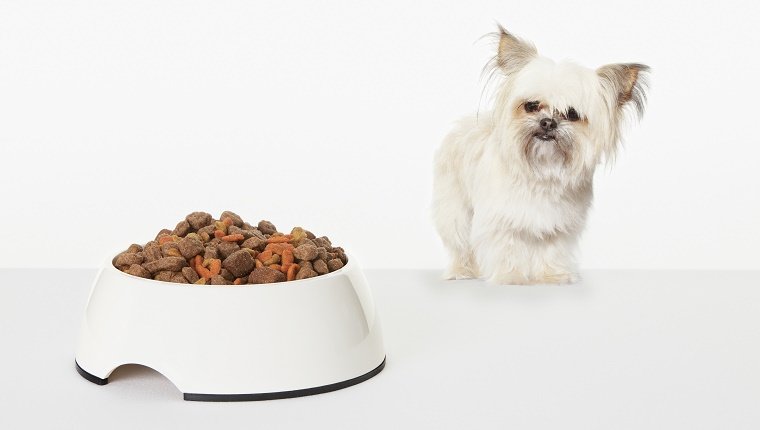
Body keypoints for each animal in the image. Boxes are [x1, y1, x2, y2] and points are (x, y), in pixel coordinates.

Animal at [430, 25, 652, 284]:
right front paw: (511, 276)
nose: (548, 122)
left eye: (572, 114)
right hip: (456, 213)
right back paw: (460, 272)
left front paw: (552, 275)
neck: (542, 170)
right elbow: (507, 247)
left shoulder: (558, 225)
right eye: (531, 106)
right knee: (460, 246)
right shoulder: (501, 220)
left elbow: (551, 250)